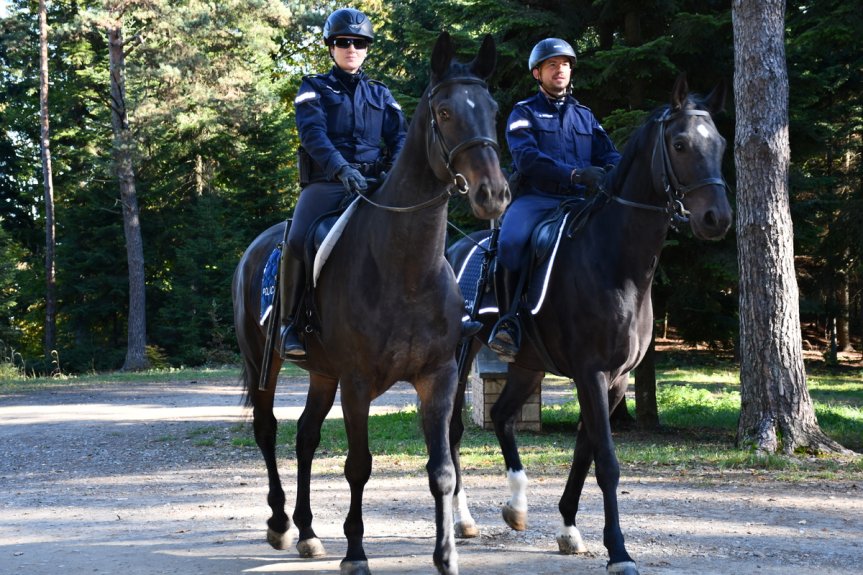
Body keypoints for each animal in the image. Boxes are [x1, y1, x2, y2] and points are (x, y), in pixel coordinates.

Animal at [233, 33, 510, 575]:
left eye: (491, 109)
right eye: (444, 112)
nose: (493, 195)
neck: (406, 271)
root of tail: (257, 247)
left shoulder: (438, 377)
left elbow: (442, 469)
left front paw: (446, 555)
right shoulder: (358, 383)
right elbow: (358, 465)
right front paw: (356, 553)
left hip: (323, 373)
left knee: (305, 436)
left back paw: (308, 533)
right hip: (264, 361)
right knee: (268, 429)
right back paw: (280, 524)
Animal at [448, 76, 732, 575]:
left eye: (718, 142)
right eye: (680, 143)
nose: (716, 218)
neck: (616, 264)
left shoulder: (614, 380)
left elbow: (585, 453)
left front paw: (569, 529)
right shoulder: (591, 372)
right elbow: (608, 462)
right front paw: (619, 551)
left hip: (528, 364)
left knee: (502, 417)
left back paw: (516, 506)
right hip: (459, 356)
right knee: (453, 431)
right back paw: (461, 519)